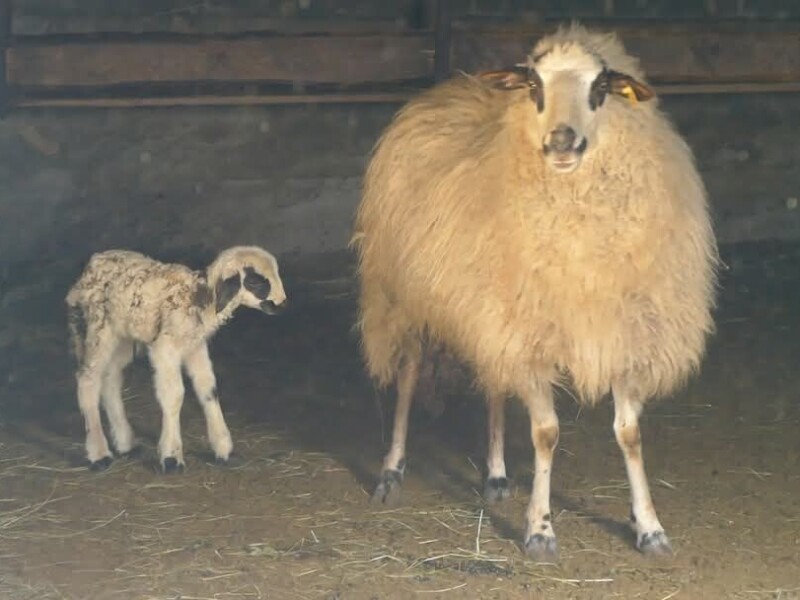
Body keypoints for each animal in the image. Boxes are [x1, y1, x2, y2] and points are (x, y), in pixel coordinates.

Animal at [65, 245, 287, 473]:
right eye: (255, 282)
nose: (282, 304)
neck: (199, 297)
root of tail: (92, 264)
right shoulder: (165, 347)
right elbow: (174, 395)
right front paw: (171, 456)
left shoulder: (195, 346)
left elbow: (208, 390)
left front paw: (224, 450)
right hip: (96, 329)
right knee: (88, 379)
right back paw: (99, 454)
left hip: (123, 337)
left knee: (110, 379)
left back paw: (126, 444)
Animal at [352, 24, 718, 561]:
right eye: (534, 86)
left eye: (600, 87)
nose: (561, 141)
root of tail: (454, 85)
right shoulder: (529, 334)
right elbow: (546, 434)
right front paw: (540, 530)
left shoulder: (619, 331)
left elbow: (629, 433)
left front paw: (649, 526)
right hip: (407, 301)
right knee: (409, 378)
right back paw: (391, 470)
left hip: (489, 315)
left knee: (494, 386)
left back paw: (497, 475)